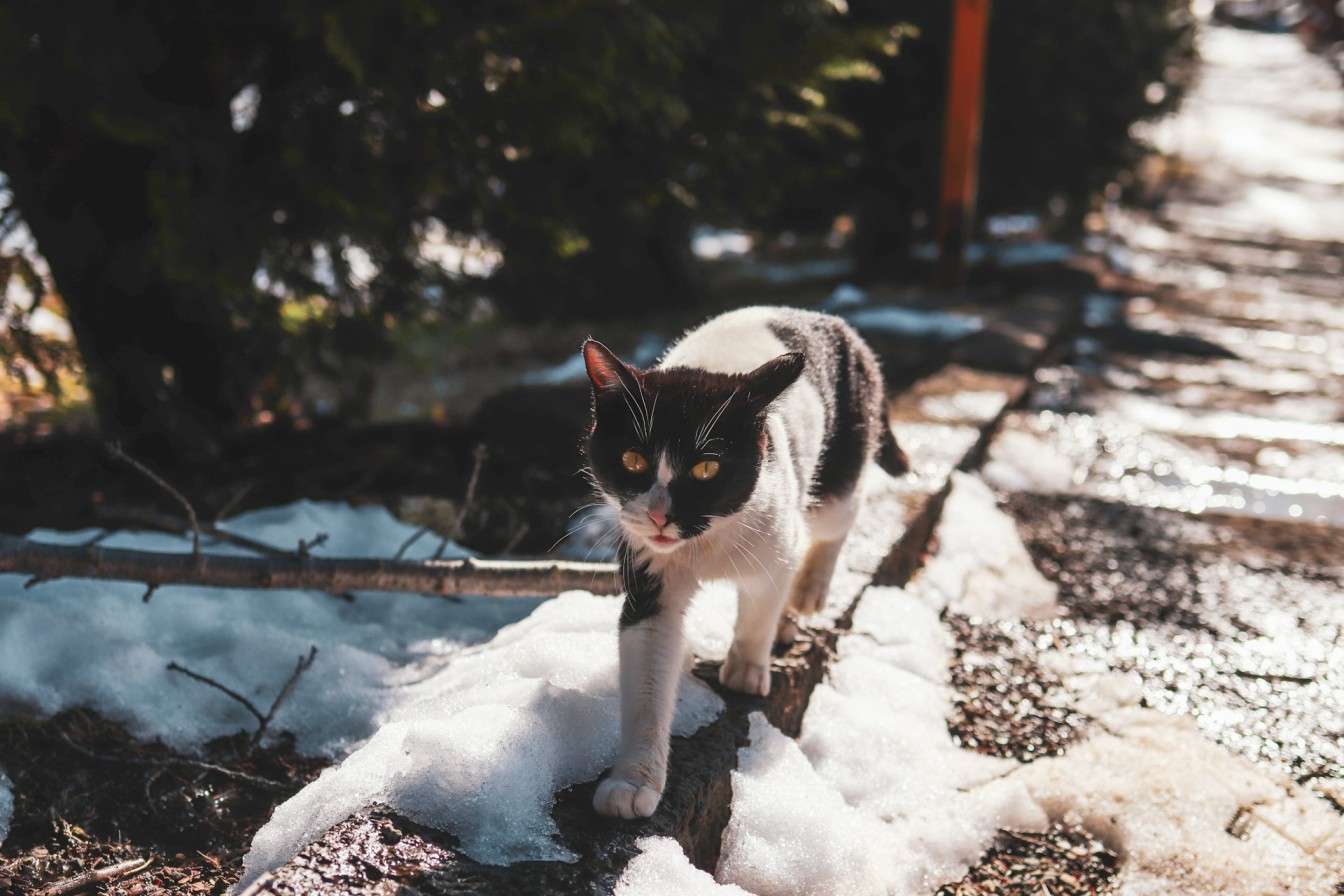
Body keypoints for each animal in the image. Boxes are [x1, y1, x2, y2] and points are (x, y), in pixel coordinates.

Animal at [577, 306, 903, 822]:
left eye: (706, 468)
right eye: (632, 460)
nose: (659, 514)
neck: (704, 541)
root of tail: (832, 321)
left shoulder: (777, 541)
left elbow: (760, 606)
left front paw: (747, 669)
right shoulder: (649, 575)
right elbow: (647, 676)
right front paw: (633, 783)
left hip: (838, 472)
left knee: (836, 522)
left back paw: (807, 594)